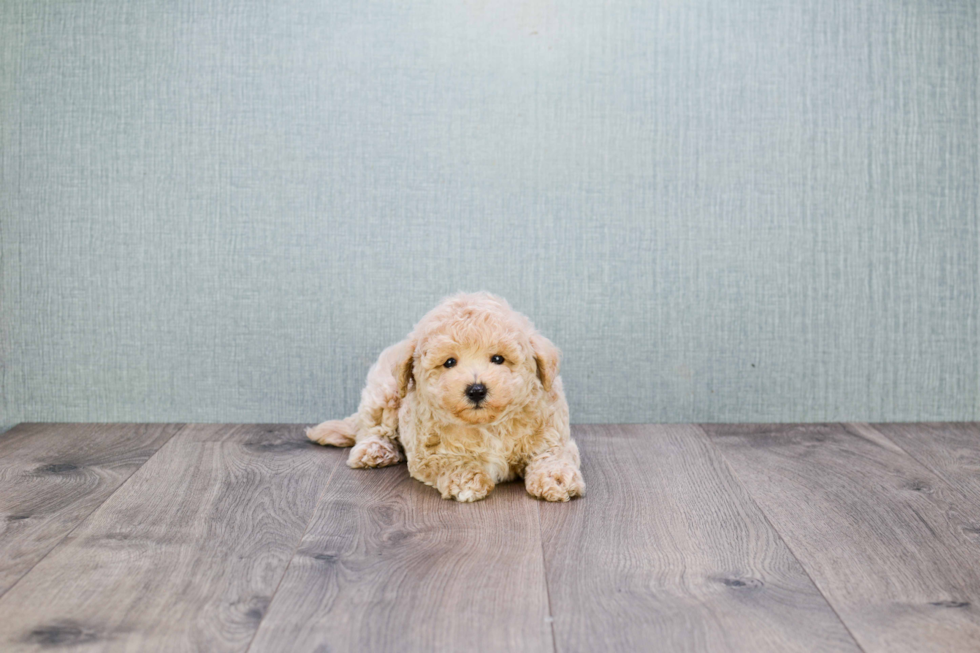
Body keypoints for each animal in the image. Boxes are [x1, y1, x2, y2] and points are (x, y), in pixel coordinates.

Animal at [306, 292, 580, 502]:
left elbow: (553, 455)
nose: (476, 389)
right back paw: (374, 450)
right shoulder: (427, 451)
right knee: (372, 428)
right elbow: (451, 461)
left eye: (498, 358)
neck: (487, 425)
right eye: (449, 362)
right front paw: (467, 480)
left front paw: (557, 479)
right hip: (384, 392)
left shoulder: (551, 434)